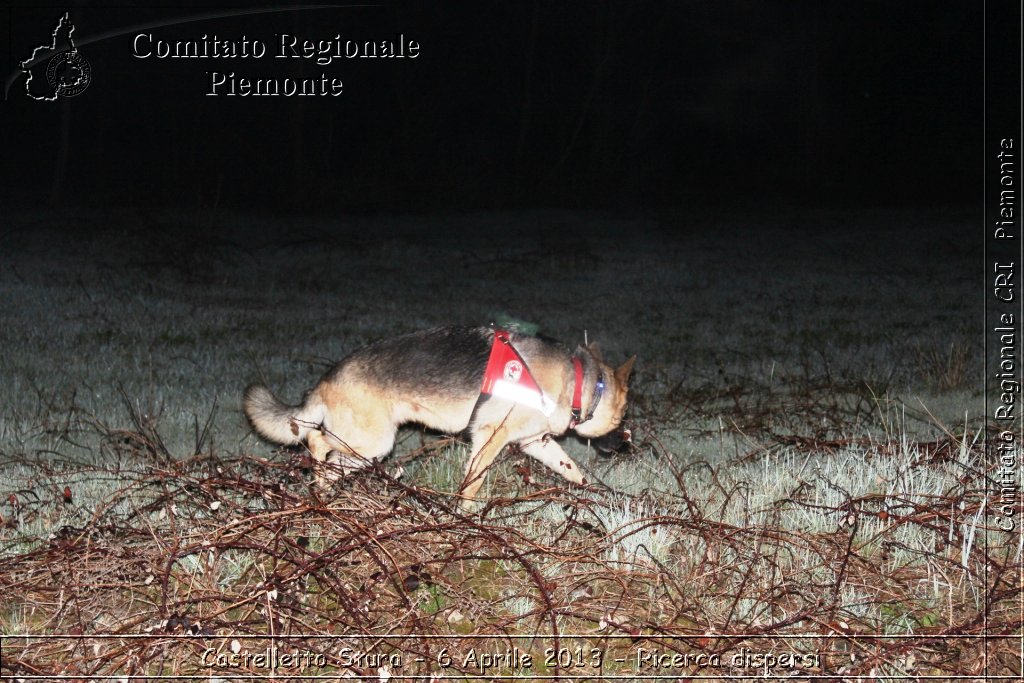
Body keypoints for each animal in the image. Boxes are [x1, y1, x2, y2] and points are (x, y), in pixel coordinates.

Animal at [246, 325, 630, 507]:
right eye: (624, 415)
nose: (626, 446)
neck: (579, 381)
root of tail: (327, 377)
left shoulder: (536, 442)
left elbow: (573, 470)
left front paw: (594, 494)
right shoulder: (490, 438)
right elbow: (472, 484)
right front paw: (469, 519)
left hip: (365, 450)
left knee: (326, 458)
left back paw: (324, 494)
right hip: (371, 443)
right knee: (316, 440)